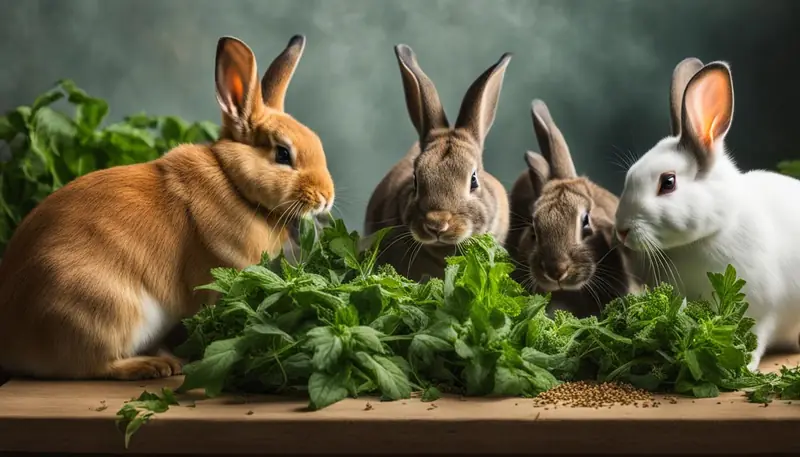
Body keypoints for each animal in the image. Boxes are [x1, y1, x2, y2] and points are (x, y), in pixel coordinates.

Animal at [0, 34, 335, 380]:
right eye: (282, 153)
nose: (327, 197)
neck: (236, 185)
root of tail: (12, 343)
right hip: (104, 312)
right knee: (96, 365)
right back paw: (156, 365)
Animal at [614, 56, 800, 372]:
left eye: (668, 182)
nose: (622, 230)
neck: (714, 232)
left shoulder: (762, 310)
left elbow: (755, 338)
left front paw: (743, 367)